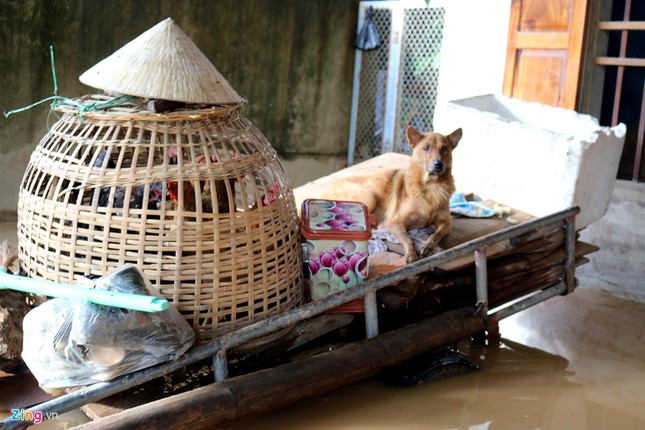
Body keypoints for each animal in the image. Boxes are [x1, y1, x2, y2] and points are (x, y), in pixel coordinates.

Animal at [314, 126, 460, 264]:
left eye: (444, 148)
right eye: (426, 148)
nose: (438, 164)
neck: (431, 186)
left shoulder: (447, 223)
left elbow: (436, 235)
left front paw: (428, 246)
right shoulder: (394, 223)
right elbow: (408, 238)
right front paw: (411, 254)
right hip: (370, 196)